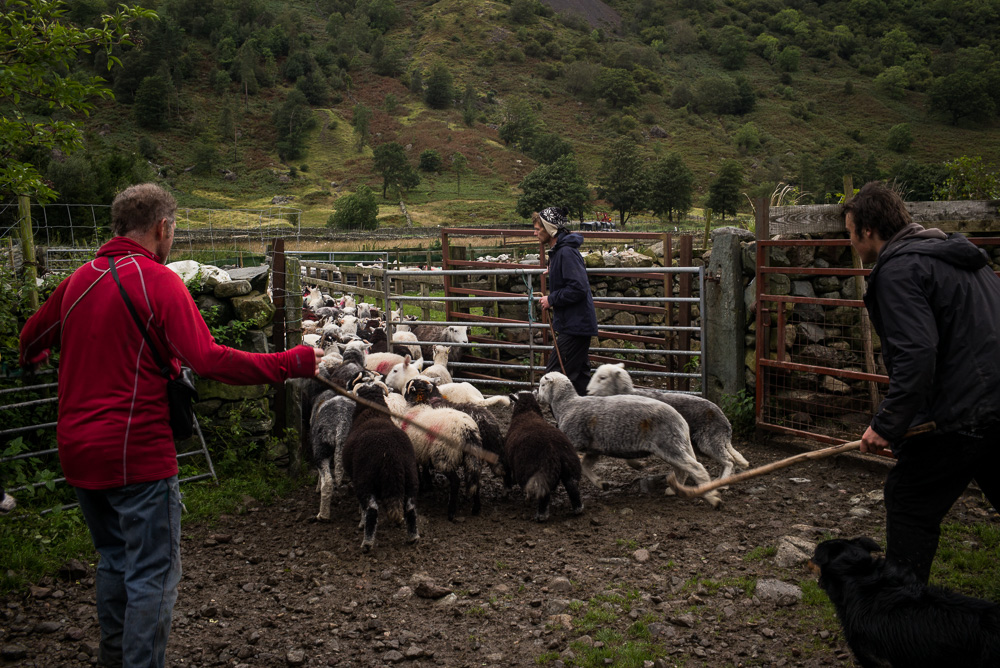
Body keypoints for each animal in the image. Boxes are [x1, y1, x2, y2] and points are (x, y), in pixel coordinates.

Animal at [342, 380, 420, 552]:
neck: (372, 412)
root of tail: (390, 454)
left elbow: (363, 509)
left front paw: (361, 523)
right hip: (410, 477)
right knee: (410, 507)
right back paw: (413, 538)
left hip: (365, 480)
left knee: (371, 510)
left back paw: (367, 543)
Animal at [504, 392, 584, 520]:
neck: (527, 413)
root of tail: (556, 449)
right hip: (570, 466)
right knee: (572, 486)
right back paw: (578, 509)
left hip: (541, 470)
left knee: (544, 492)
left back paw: (541, 515)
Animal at [540, 374, 720, 508]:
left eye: (542, 384)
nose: (536, 393)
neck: (567, 405)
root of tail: (680, 420)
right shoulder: (594, 448)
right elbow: (585, 466)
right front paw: (601, 484)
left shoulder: (574, 440)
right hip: (674, 446)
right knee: (683, 469)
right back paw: (675, 490)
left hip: (669, 445)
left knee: (696, 468)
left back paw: (712, 497)